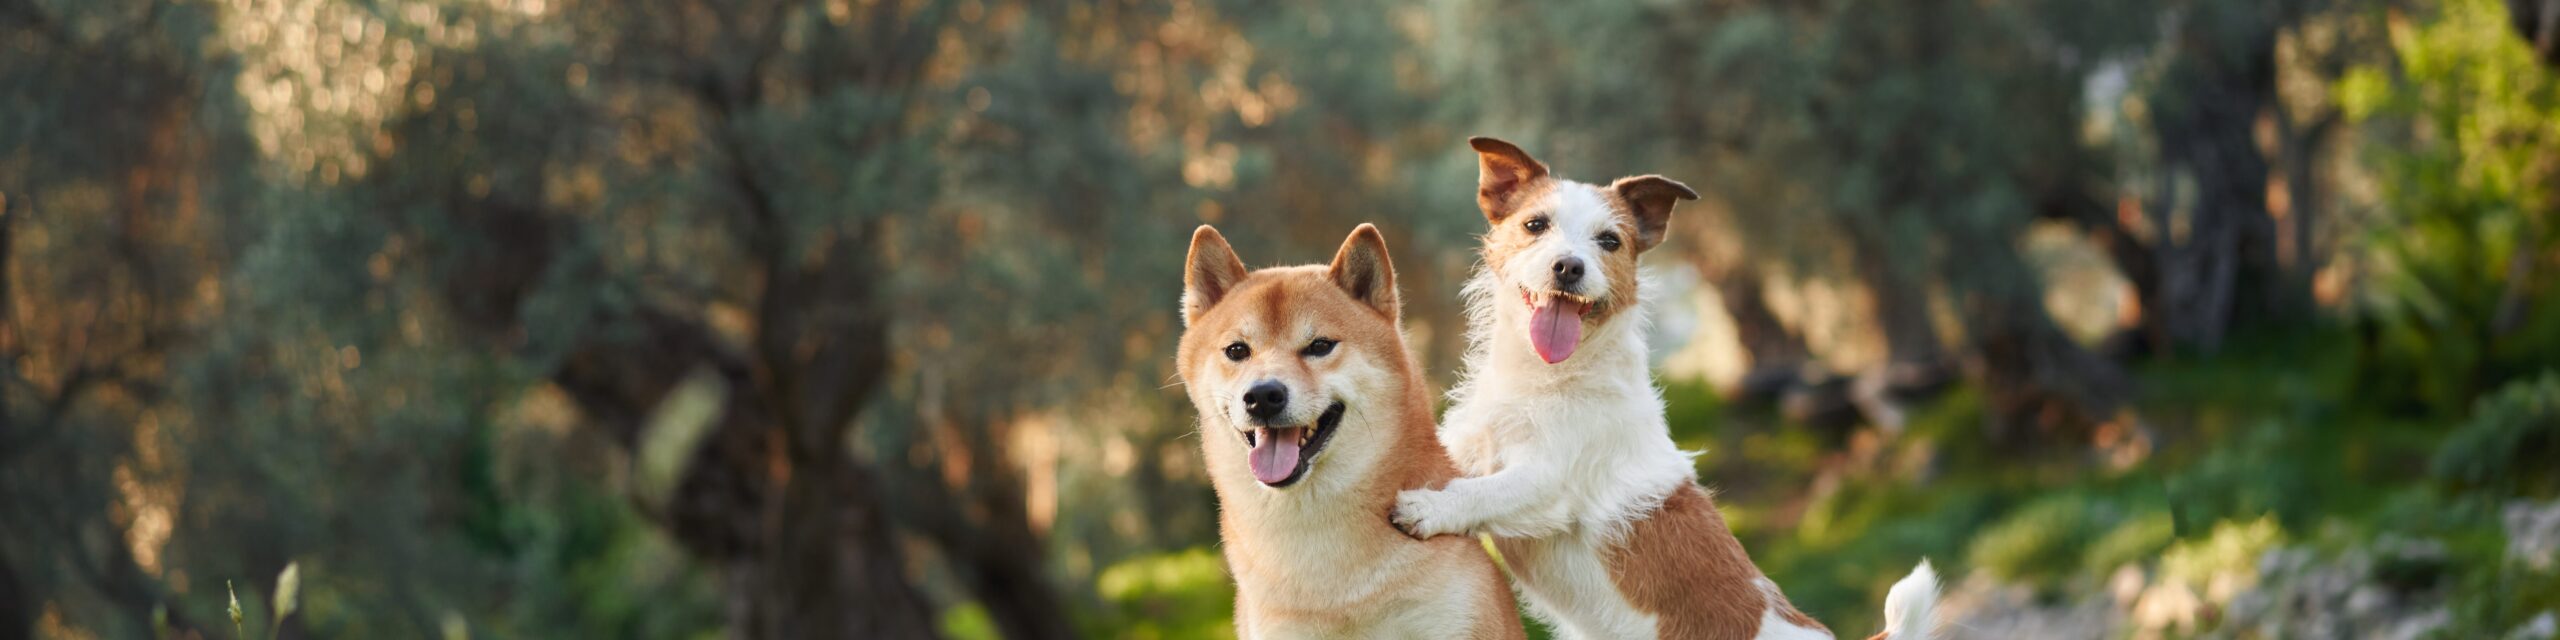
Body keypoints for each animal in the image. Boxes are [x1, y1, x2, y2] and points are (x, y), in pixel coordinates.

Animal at [1402, 136, 1935, 640]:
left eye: (1609, 241)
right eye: (1535, 225)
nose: (1569, 266)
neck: (1544, 376)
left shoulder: (1548, 479)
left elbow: (1484, 491)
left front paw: (1430, 507)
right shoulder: (1465, 444)